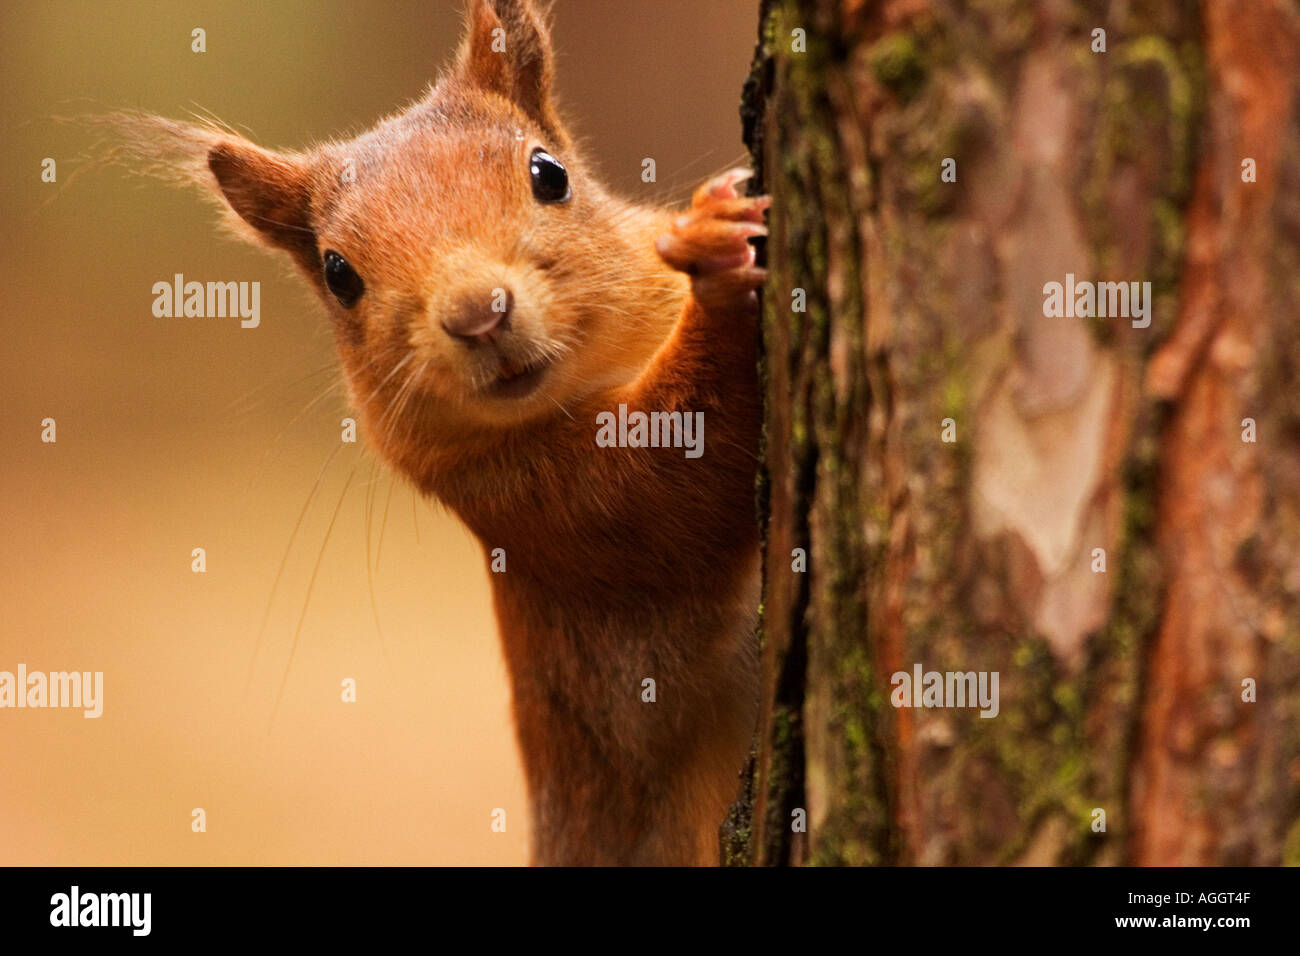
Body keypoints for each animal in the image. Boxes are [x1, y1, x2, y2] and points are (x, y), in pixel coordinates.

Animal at [111, 0, 764, 863]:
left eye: (548, 174)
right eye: (339, 274)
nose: (479, 314)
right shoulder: (562, 513)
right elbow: (686, 476)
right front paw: (718, 263)